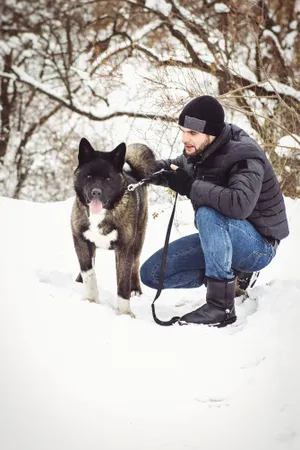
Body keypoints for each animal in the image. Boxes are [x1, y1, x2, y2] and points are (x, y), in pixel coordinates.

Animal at [71, 137, 156, 316]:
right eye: (89, 176)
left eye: (108, 179)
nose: (96, 192)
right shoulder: (80, 239)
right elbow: (89, 272)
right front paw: (91, 299)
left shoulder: (124, 249)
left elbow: (123, 284)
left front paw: (124, 313)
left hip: (138, 241)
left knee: (135, 265)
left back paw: (135, 289)